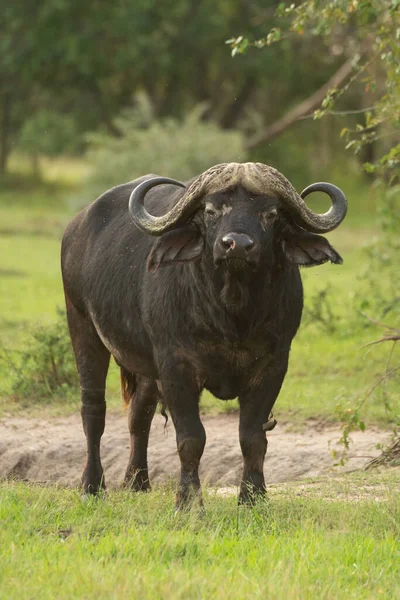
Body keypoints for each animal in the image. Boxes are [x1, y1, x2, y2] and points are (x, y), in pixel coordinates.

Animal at [61, 161, 346, 506]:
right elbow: (191, 438)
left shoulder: (273, 366)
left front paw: (253, 497)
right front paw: (188, 502)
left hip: (146, 367)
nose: (236, 244)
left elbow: (253, 437)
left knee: (139, 415)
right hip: (83, 329)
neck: (232, 314)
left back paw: (137, 482)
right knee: (93, 411)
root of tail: (76, 226)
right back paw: (92, 486)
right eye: (211, 211)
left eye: (271, 214)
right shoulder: (176, 366)